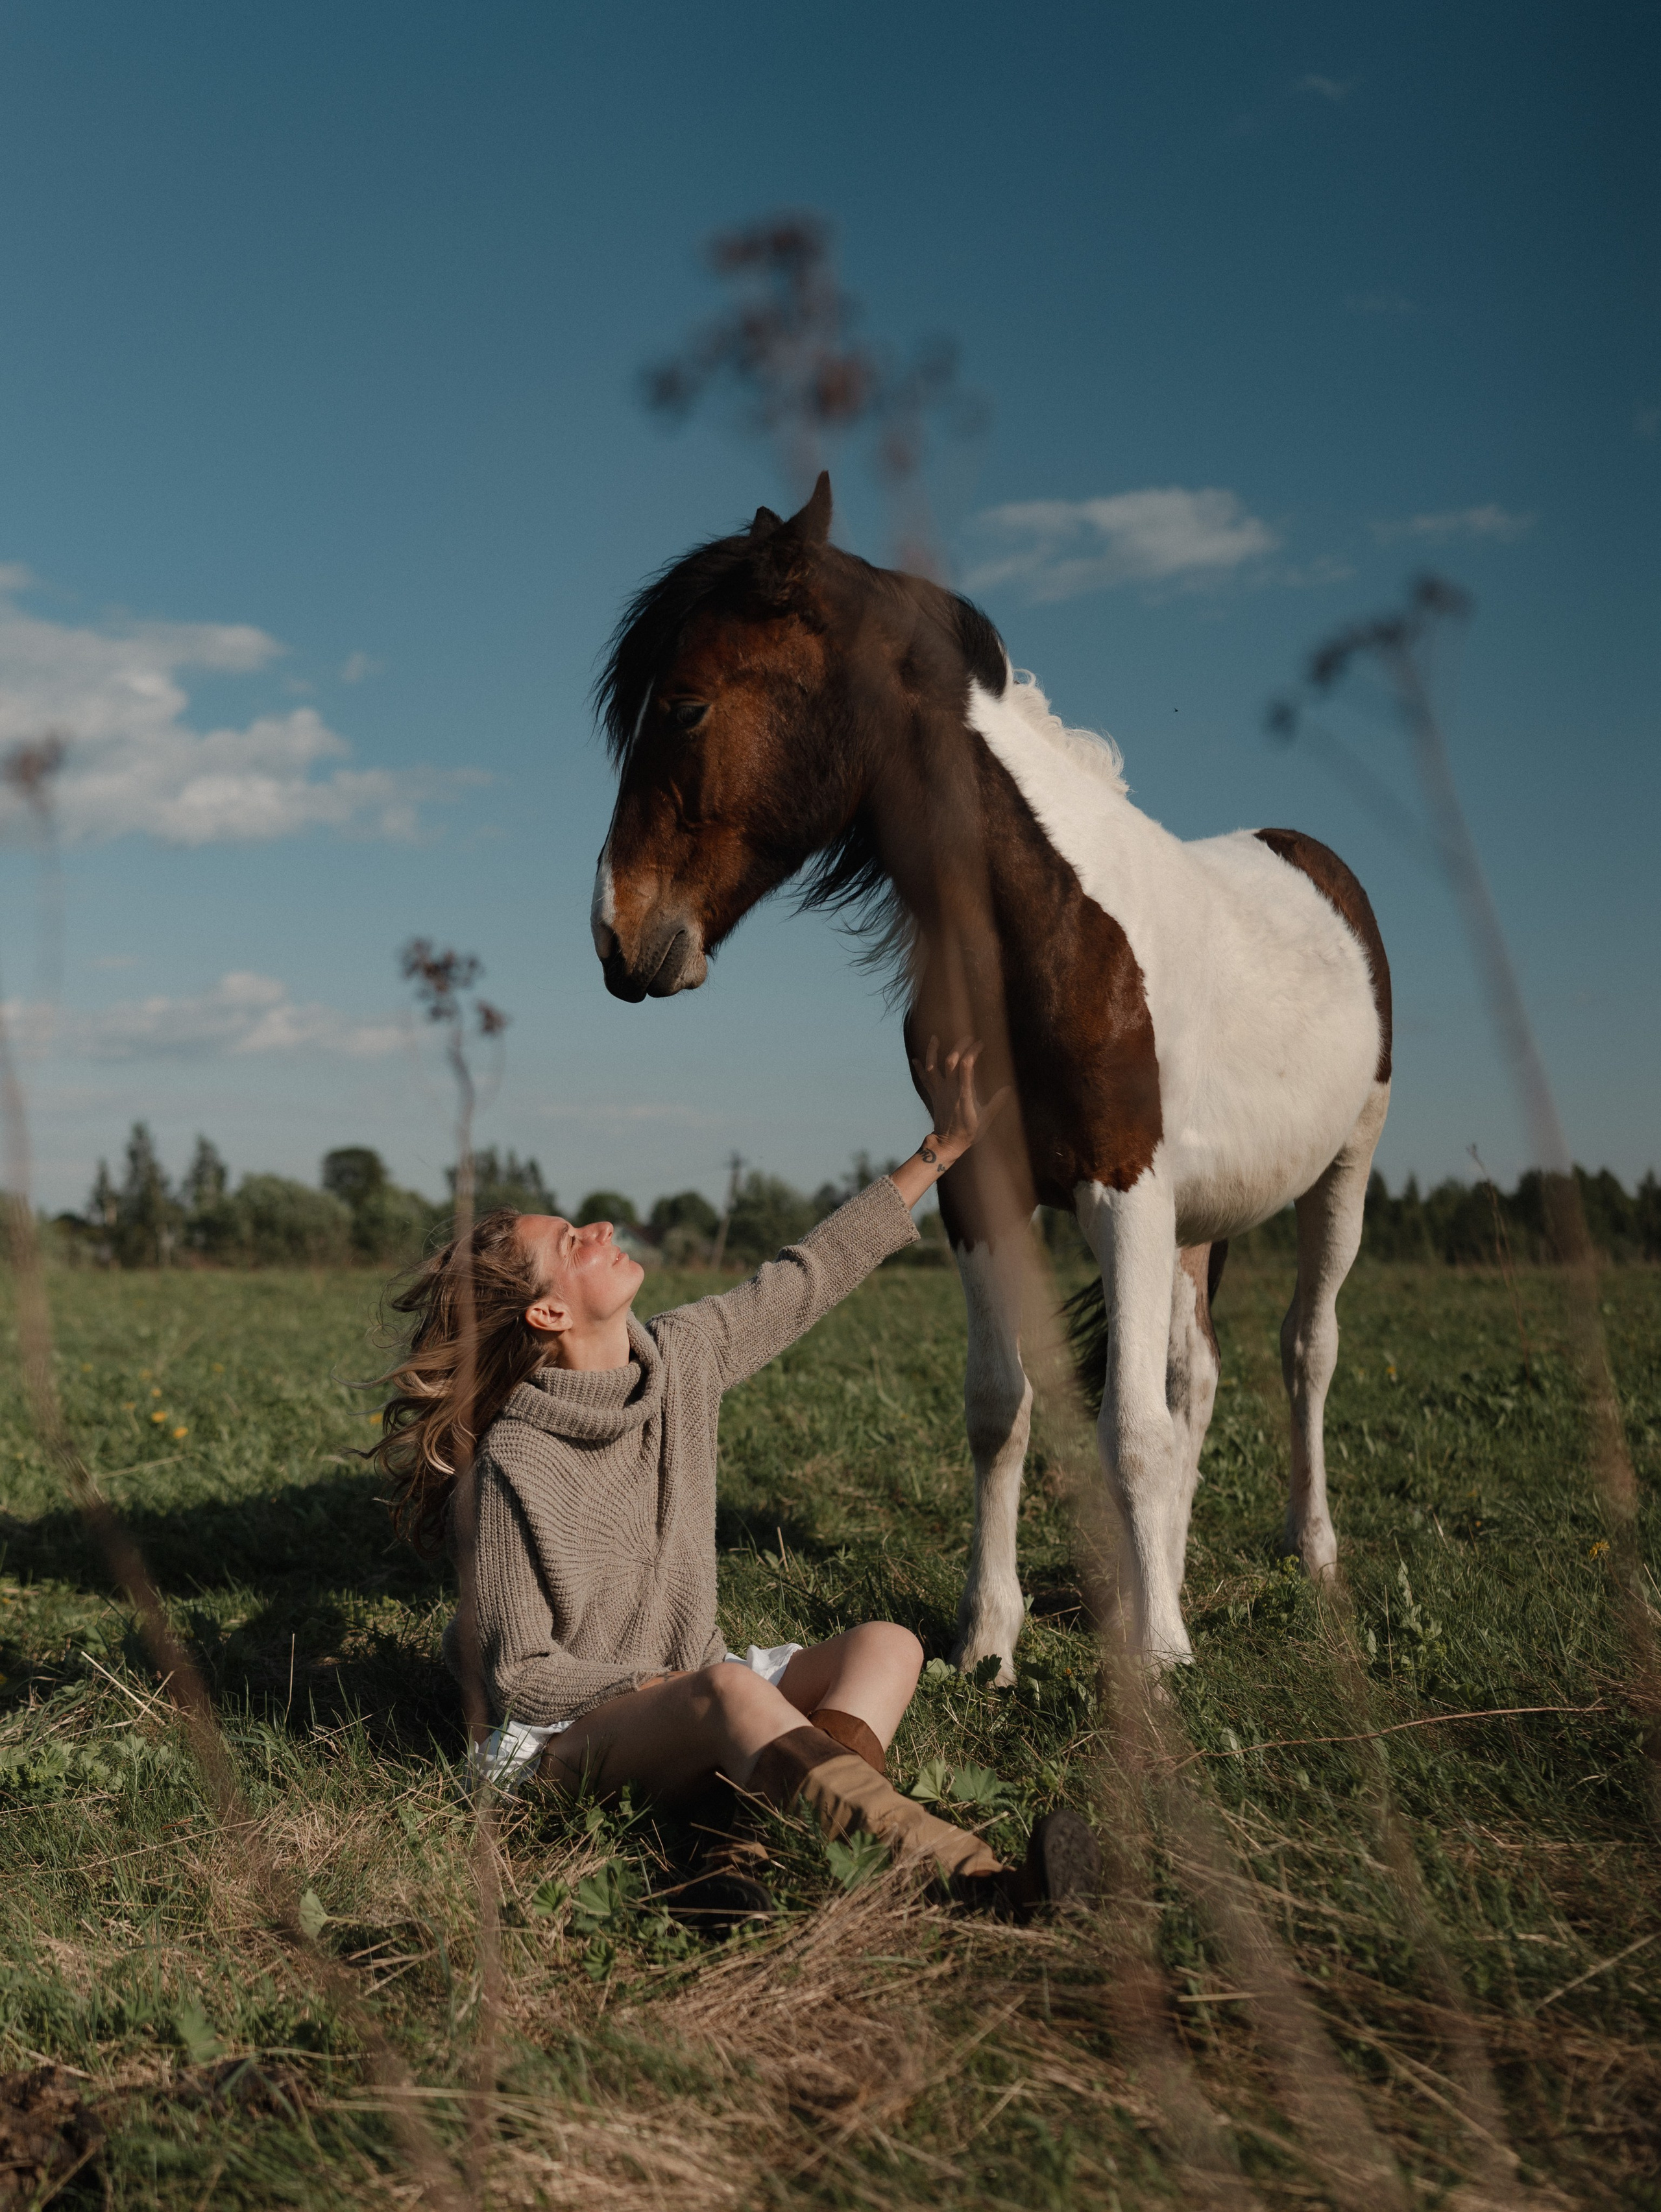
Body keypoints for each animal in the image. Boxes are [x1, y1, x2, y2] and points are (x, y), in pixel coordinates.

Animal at [589, 473, 1391, 1681]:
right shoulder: (981, 1190)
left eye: (684, 707)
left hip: (1342, 1170)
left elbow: (1129, 1429)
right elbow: (1000, 1405)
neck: (1051, 929)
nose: (617, 937)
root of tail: (1316, 860)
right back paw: (1173, 1571)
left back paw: (1313, 1554)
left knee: (1307, 1349)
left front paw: (1159, 1657)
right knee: (1196, 1377)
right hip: (1198, 1224)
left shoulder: (1126, 1189)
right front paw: (988, 1636)